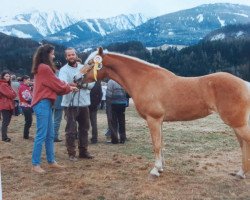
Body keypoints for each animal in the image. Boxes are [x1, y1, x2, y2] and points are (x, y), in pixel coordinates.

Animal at [79, 47, 250, 179]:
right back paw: (241, 173)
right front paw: (161, 167)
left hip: (237, 124)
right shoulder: (159, 121)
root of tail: (245, 83)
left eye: (91, 63)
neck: (145, 80)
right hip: (236, 125)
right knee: (243, 144)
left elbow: (156, 144)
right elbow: (160, 144)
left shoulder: (153, 119)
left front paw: (155, 170)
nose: (76, 78)